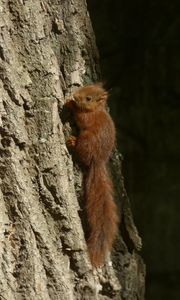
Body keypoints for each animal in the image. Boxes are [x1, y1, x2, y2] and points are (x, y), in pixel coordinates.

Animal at [65, 82, 119, 268]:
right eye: (84, 86)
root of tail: (98, 161)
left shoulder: (89, 118)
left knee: (81, 152)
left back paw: (73, 142)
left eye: (88, 98)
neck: (96, 109)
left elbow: (81, 118)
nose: (75, 96)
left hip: (87, 142)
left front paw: (71, 105)